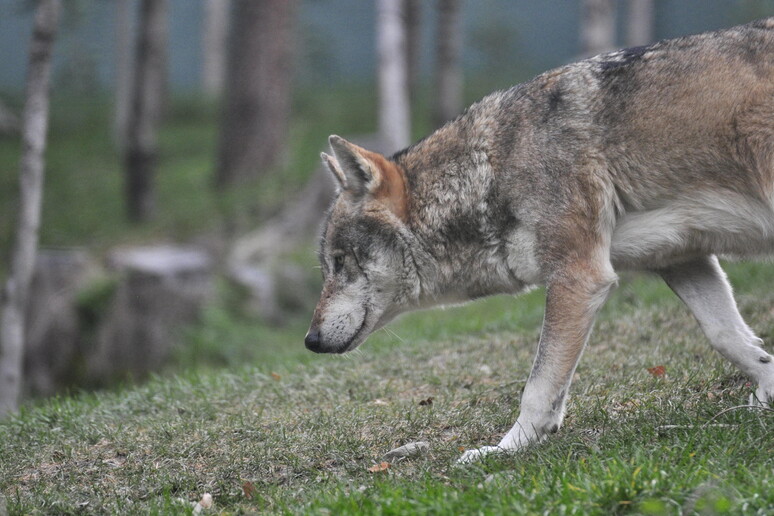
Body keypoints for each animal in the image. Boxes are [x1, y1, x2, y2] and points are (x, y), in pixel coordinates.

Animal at [306, 19, 772, 464]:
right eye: (328, 265)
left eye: (341, 261)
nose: (309, 341)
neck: (490, 171)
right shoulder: (680, 258)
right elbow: (729, 337)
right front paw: (768, 394)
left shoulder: (579, 278)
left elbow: (537, 386)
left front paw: (505, 450)